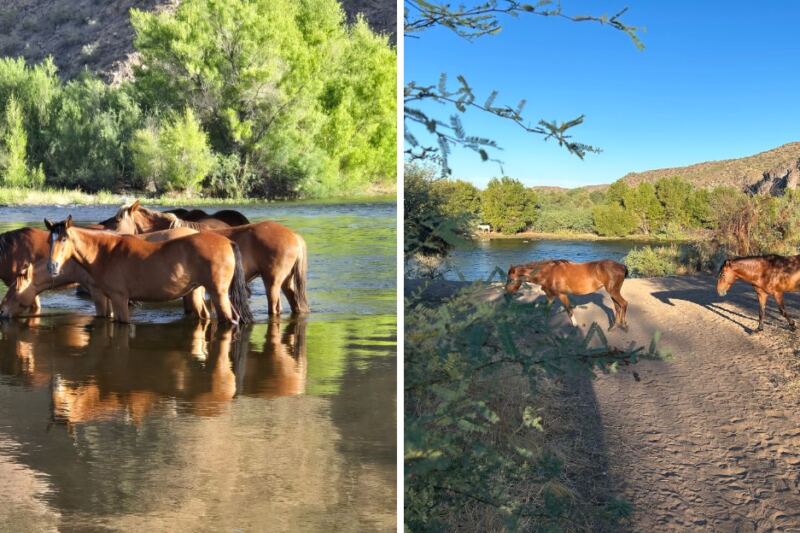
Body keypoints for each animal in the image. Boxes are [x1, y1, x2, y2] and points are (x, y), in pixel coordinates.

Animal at [45, 216, 252, 324]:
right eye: (50, 240)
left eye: (64, 239)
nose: (52, 266)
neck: (106, 252)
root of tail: (227, 242)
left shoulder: (120, 299)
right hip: (196, 292)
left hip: (219, 294)